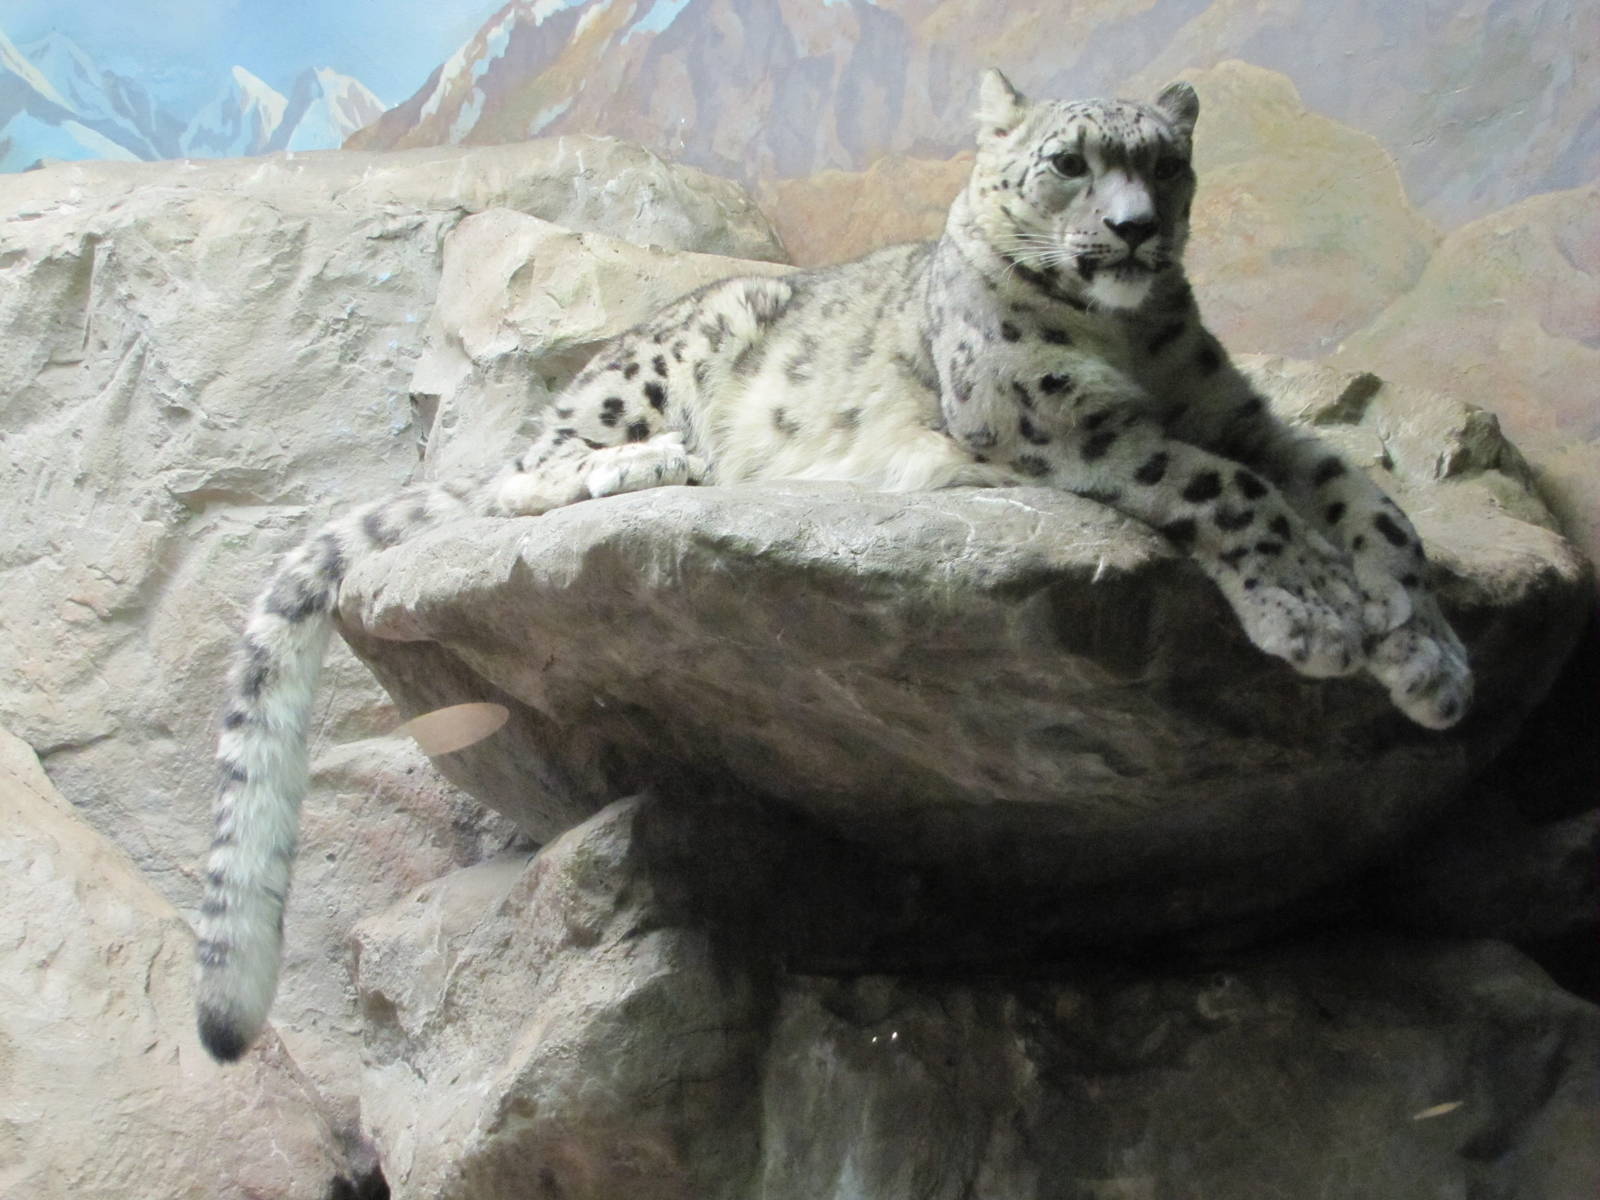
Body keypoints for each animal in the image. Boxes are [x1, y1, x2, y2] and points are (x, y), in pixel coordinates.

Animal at [195, 68, 1472, 1062]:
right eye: (1070, 162)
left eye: (1163, 165)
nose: (1130, 232)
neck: (1133, 342)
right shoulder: (1055, 417)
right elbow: (1229, 492)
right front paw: (1313, 611)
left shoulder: (1235, 414)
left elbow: (1365, 498)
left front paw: (1427, 658)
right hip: (657, 361)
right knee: (522, 474)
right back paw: (664, 459)